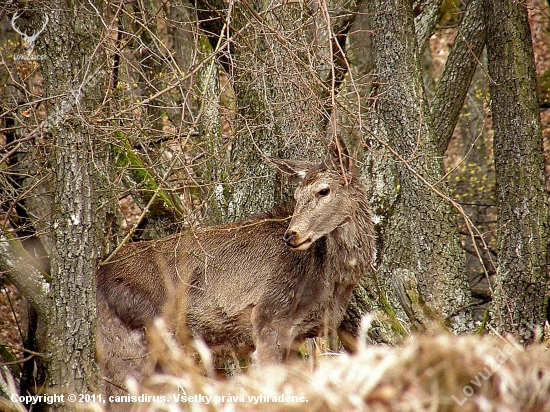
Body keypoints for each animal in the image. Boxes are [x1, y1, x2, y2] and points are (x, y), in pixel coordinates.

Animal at [98, 137, 376, 398]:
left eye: (323, 191)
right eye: (296, 196)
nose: (291, 235)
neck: (328, 282)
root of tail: (98, 273)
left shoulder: (305, 335)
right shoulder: (267, 318)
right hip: (136, 344)